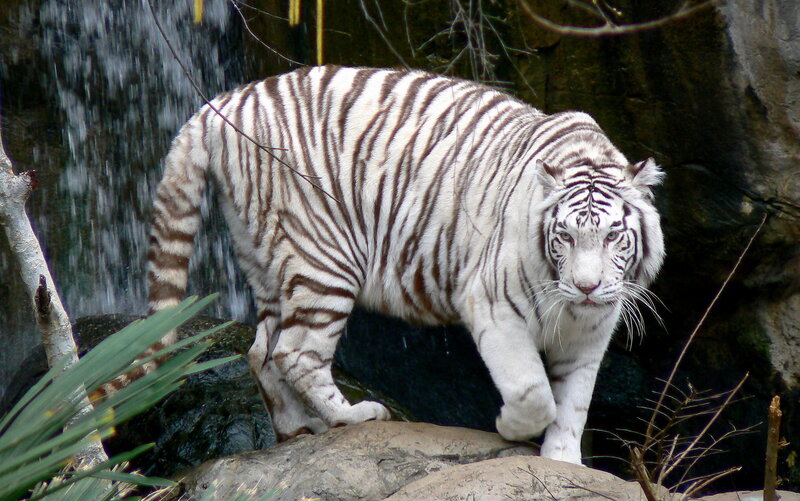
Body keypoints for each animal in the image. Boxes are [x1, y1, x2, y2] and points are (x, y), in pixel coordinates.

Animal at [145, 65, 665, 465]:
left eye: (613, 236)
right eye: (565, 237)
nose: (587, 287)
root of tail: (226, 101)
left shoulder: (591, 332)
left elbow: (574, 404)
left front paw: (563, 462)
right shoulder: (494, 307)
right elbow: (533, 392)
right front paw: (509, 426)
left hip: (265, 256)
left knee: (262, 350)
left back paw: (299, 430)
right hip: (324, 258)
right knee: (297, 351)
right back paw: (352, 416)